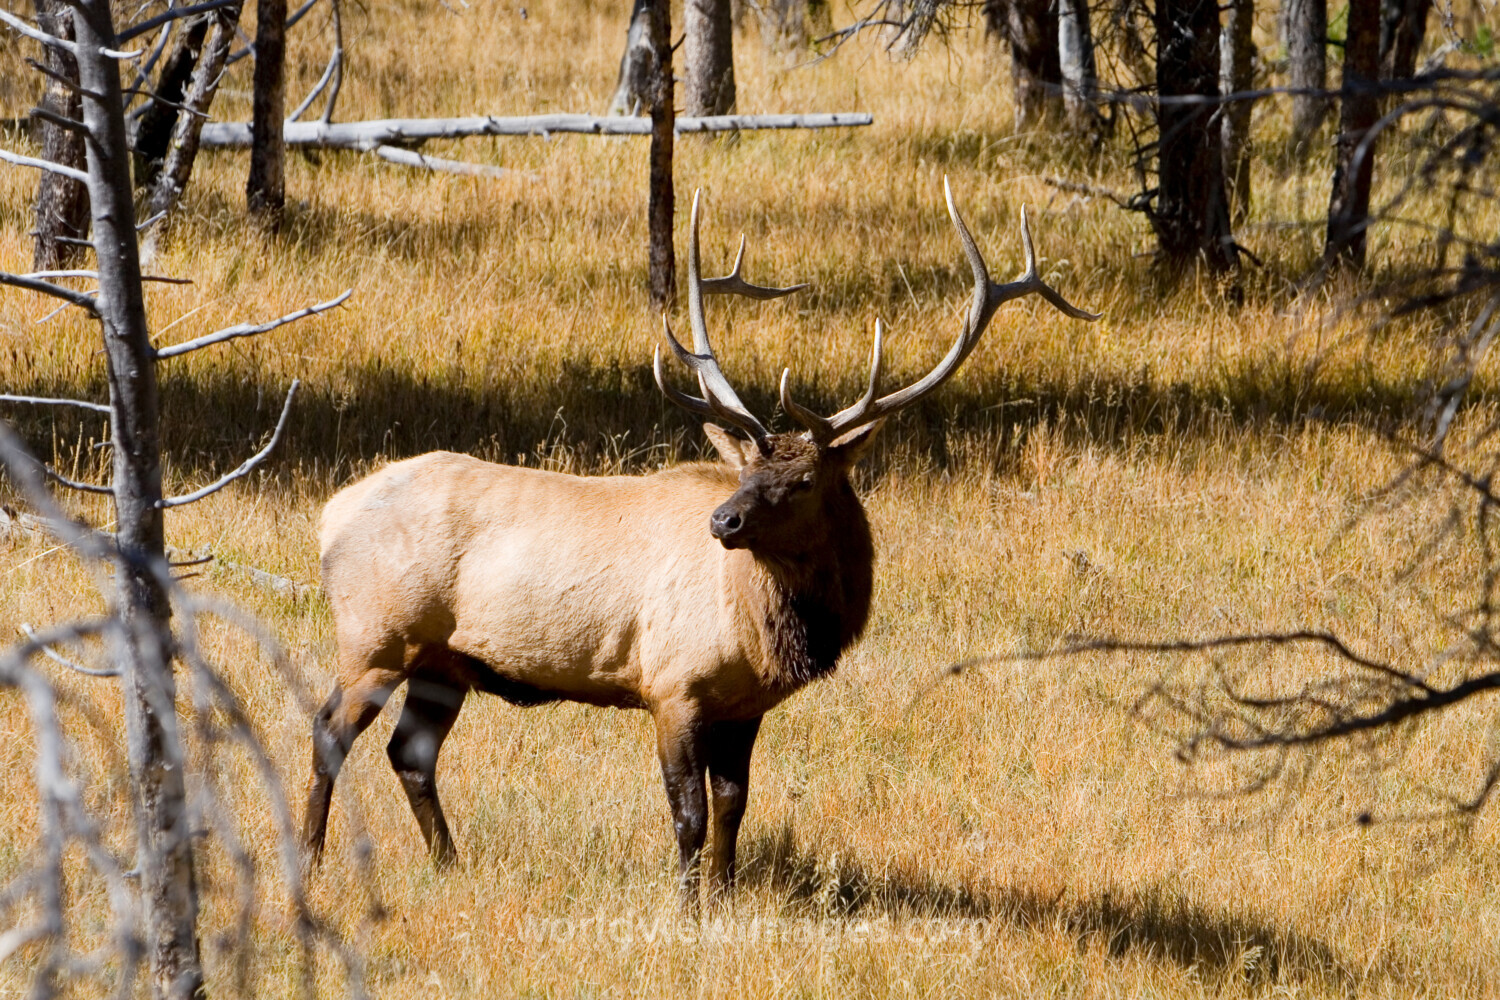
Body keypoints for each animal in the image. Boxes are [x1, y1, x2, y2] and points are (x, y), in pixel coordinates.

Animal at [303, 181, 1098, 906]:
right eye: (745, 470)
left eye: (804, 479)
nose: (723, 523)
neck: (763, 628)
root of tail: (328, 516)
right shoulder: (672, 685)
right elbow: (686, 813)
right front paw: (687, 905)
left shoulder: (744, 707)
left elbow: (732, 807)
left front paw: (724, 892)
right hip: (378, 634)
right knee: (329, 730)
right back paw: (310, 864)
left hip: (446, 660)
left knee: (411, 752)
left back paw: (449, 865)